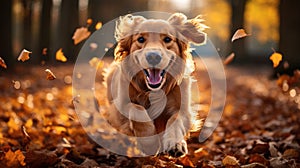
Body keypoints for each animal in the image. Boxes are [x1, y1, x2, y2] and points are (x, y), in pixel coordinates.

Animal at [103, 13, 206, 158]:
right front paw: (149, 141)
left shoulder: (184, 110)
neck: (153, 91)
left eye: (167, 39)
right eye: (140, 39)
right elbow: (136, 109)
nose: (153, 56)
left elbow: (175, 120)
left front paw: (175, 144)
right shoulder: (119, 107)